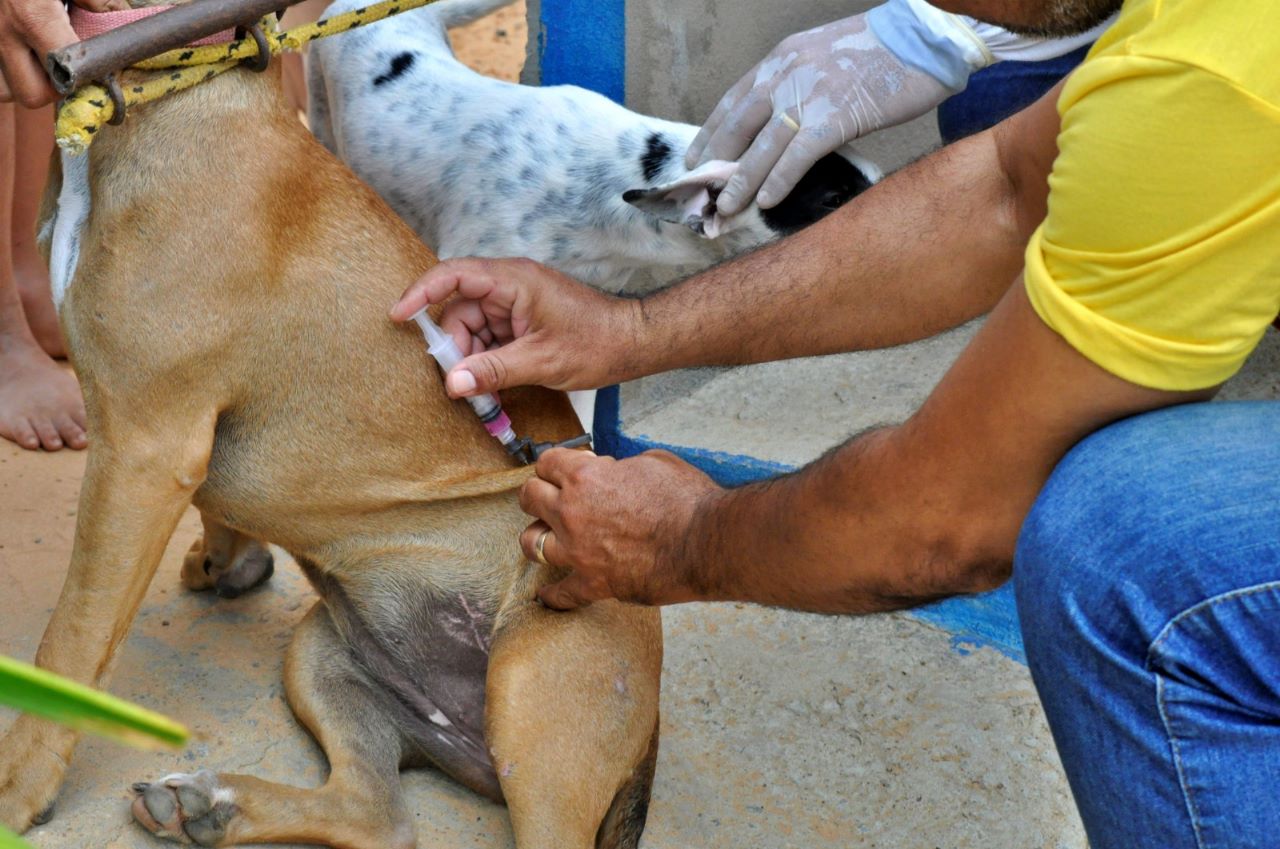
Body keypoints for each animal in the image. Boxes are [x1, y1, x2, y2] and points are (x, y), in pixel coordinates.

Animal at [0, 21, 660, 849]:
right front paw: (228, 556)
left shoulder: (142, 446)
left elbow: (71, 638)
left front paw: (16, 784)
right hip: (322, 654)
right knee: (377, 813)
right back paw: (211, 806)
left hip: (535, 688)